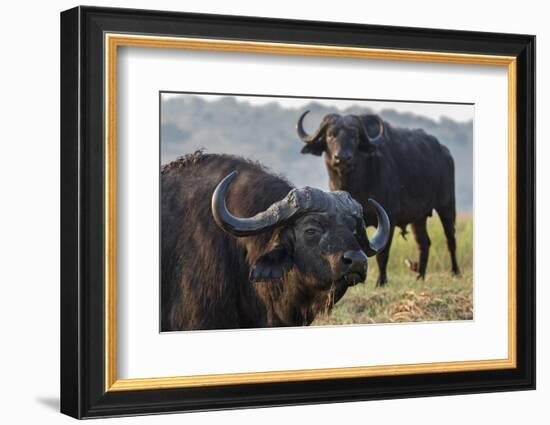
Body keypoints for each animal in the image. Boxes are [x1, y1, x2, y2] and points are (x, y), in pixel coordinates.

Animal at [298, 111, 462, 284]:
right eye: (330, 135)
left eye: (355, 136)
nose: (342, 158)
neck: (356, 185)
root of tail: (444, 152)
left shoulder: (388, 217)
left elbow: (382, 254)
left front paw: (381, 282)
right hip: (418, 218)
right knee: (424, 243)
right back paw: (420, 277)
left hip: (447, 206)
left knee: (450, 239)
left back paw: (455, 272)